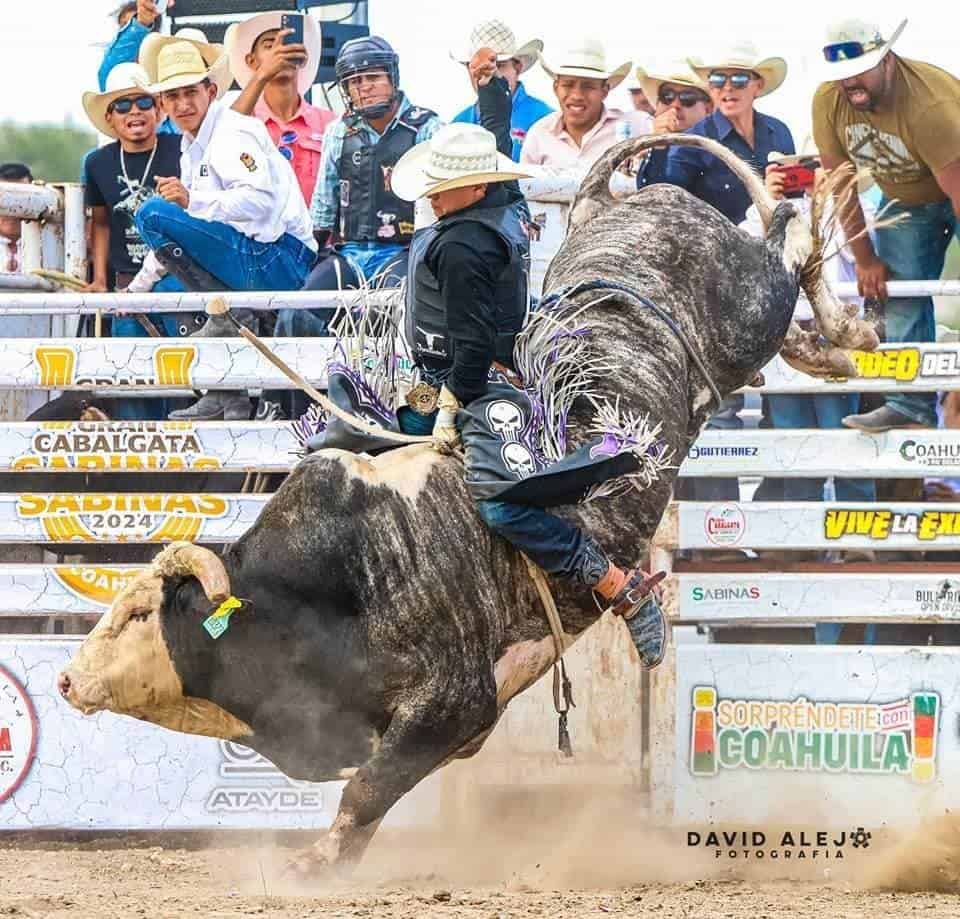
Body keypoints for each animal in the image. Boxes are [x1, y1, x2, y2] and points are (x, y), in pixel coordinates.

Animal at [56, 137, 872, 876]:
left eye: (138, 612)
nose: (65, 680)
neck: (316, 590)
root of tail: (639, 198)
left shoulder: (456, 703)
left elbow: (370, 788)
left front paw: (313, 862)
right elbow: (369, 793)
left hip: (745, 310)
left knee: (784, 243)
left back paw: (838, 276)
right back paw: (828, 343)